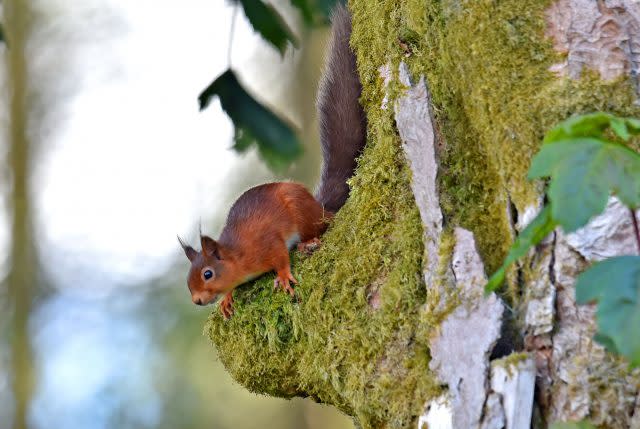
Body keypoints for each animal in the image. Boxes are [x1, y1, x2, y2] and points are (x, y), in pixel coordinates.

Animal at [179, 4, 364, 318]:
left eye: (207, 274)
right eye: (189, 280)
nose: (197, 301)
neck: (238, 257)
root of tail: (319, 206)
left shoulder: (268, 244)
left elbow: (280, 256)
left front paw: (284, 275)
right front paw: (228, 298)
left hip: (303, 214)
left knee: (320, 226)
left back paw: (310, 240)